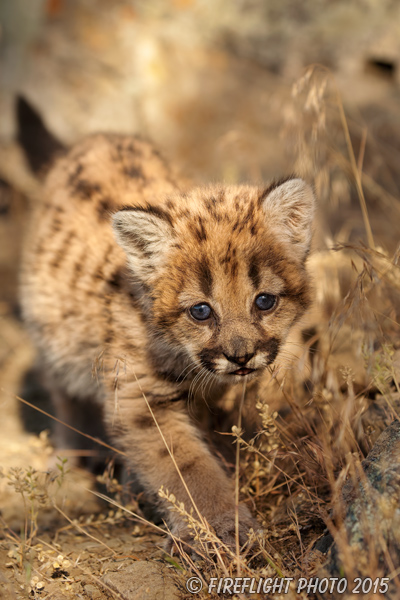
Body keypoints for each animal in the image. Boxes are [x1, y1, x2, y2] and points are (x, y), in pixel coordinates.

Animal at [20, 134, 316, 552]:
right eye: (201, 311)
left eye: (264, 301)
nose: (241, 357)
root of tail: (98, 137)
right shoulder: (140, 398)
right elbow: (187, 467)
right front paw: (223, 527)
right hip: (54, 341)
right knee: (67, 398)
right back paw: (76, 457)